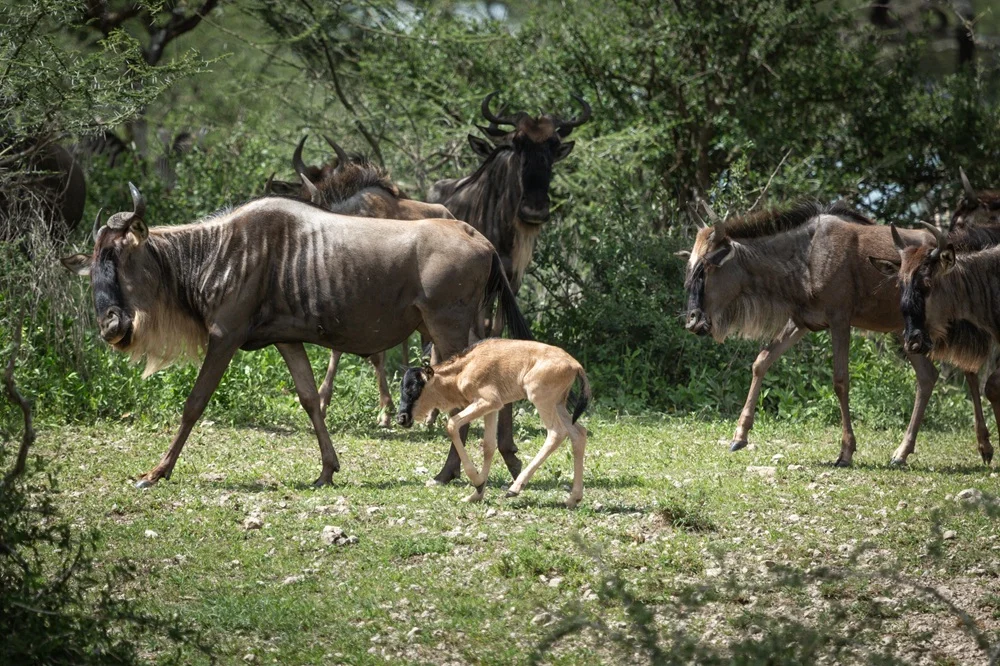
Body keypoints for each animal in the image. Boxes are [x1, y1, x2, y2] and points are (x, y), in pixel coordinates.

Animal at [60, 183, 532, 488]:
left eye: (122, 255)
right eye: (95, 262)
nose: (111, 326)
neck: (217, 252)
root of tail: (483, 242)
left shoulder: (225, 337)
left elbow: (194, 403)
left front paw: (156, 473)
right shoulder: (286, 340)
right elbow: (309, 400)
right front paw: (327, 470)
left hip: (446, 327)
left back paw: (448, 473)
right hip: (465, 327)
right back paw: (510, 459)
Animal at [426, 91, 591, 484]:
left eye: (553, 146)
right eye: (517, 144)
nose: (535, 210)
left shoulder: (511, 284)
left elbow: (503, 339)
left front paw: (509, 451)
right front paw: (453, 463)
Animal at [683, 200, 963, 466]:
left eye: (706, 267)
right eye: (691, 265)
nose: (693, 321)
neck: (806, 257)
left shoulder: (840, 321)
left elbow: (840, 381)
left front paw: (846, 452)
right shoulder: (801, 322)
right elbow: (761, 362)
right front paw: (739, 436)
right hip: (906, 333)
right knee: (927, 376)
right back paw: (901, 453)